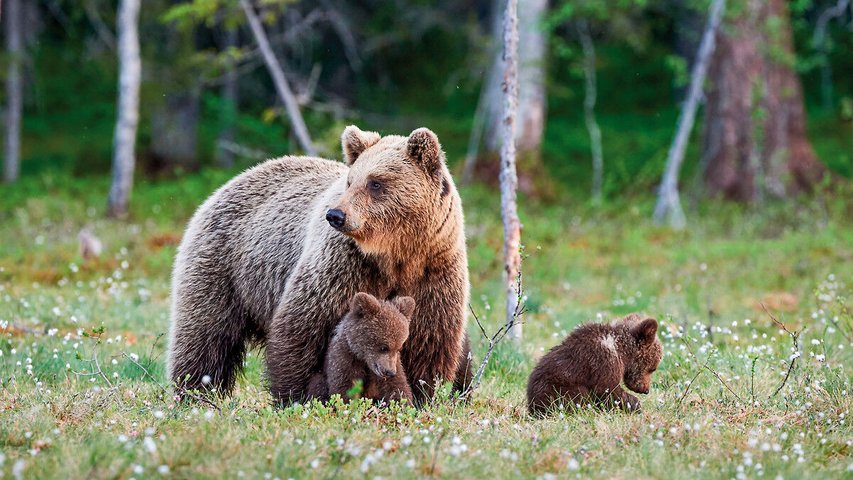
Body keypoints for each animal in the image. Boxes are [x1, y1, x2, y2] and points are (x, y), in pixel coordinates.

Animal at [166, 125, 472, 404]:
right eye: (350, 181)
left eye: (376, 182)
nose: (336, 215)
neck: (396, 254)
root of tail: (231, 181)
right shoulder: (343, 267)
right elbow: (303, 326)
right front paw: (297, 395)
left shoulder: (433, 271)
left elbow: (428, 339)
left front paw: (422, 395)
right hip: (225, 265)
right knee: (206, 335)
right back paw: (195, 391)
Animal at [528, 314, 664, 414]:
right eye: (652, 368)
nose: (646, 390)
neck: (621, 350)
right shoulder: (603, 361)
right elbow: (607, 389)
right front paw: (635, 404)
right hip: (555, 389)